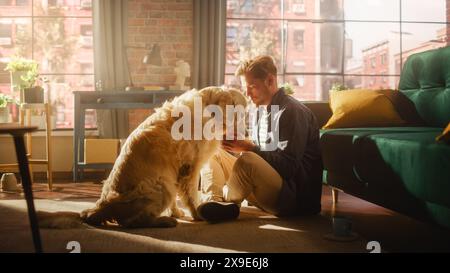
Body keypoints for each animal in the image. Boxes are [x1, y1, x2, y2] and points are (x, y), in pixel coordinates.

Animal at [39, 86, 248, 227]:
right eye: (241, 112)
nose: (246, 129)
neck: (207, 109)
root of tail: (102, 206)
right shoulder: (190, 167)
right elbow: (191, 195)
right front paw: (198, 213)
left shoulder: (176, 170)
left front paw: (177, 212)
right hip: (161, 184)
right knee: (133, 221)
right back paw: (163, 221)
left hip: (165, 182)